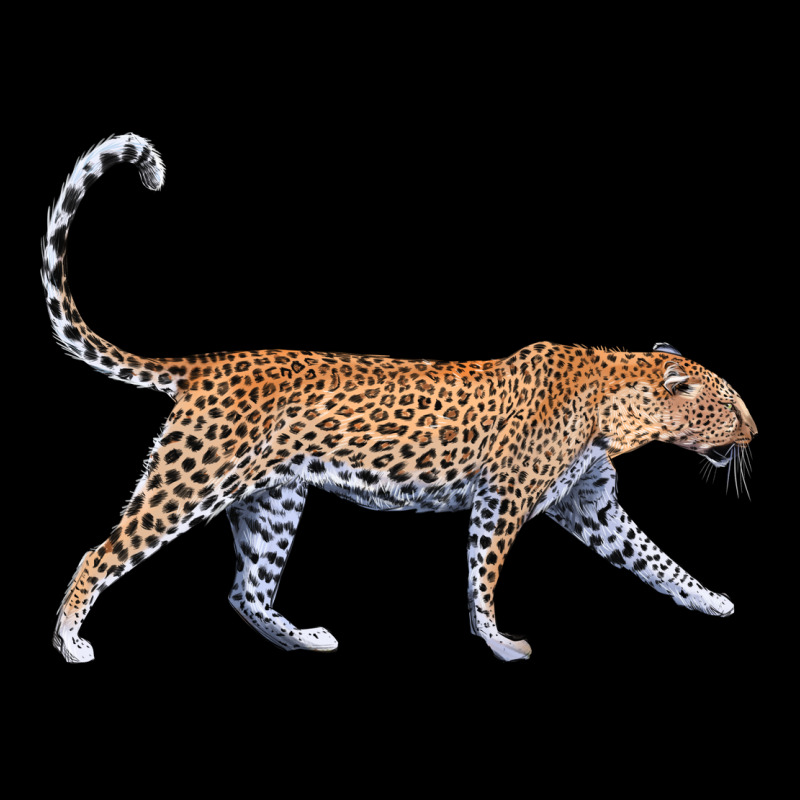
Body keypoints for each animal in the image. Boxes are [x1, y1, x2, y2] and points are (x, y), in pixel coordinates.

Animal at [42, 134, 757, 663]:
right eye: (731, 405)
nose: (756, 434)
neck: (618, 409)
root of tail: (204, 364)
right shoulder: (503, 498)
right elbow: (483, 574)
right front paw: (499, 642)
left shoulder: (590, 505)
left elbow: (658, 561)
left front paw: (711, 599)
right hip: (193, 479)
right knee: (101, 553)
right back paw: (70, 642)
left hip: (275, 498)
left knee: (247, 592)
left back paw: (305, 640)